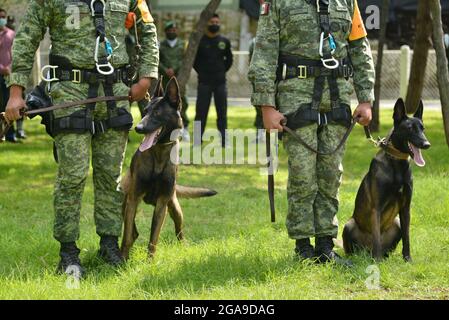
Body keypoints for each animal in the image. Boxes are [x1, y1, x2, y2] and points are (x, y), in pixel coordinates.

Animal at [119, 77, 217, 260]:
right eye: (145, 111)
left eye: (157, 113)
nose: (138, 128)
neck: (159, 153)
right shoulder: (134, 198)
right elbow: (127, 235)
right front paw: (122, 260)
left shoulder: (162, 204)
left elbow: (153, 238)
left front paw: (150, 262)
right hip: (125, 199)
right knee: (131, 229)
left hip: (174, 206)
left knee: (179, 230)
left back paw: (184, 245)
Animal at [344, 99, 430, 262]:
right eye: (410, 128)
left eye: (423, 128)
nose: (426, 144)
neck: (396, 163)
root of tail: (366, 251)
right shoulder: (376, 209)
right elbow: (377, 238)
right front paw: (377, 262)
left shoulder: (406, 208)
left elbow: (407, 237)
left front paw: (407, 259)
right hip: (349, 224)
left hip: (396, 223)